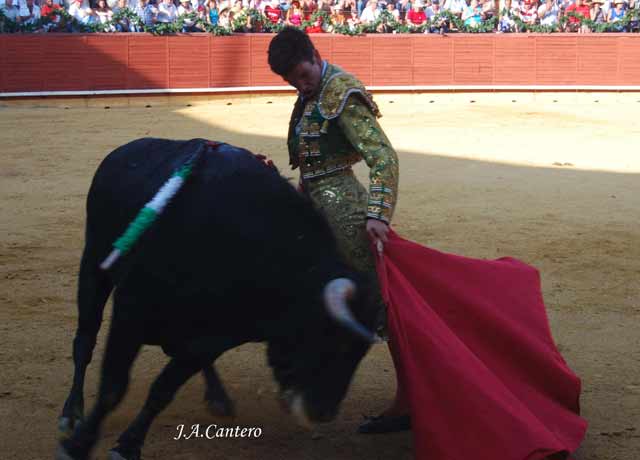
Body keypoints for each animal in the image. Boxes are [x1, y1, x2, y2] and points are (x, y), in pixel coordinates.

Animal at [56, 138, 380, 460]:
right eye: (334, 342)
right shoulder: (131, 310)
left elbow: (163, 390)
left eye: (361, 352)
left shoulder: (214, 339)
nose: (323, 412)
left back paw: (217, 397)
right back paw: (71, 413)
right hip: (93, 266)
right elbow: (113, 387)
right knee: (84, 341)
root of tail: (123, 150)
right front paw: (78, 446)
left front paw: (128, 445)